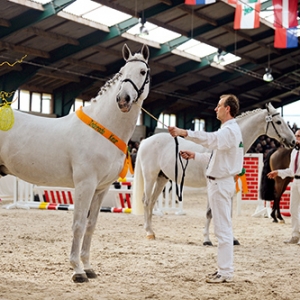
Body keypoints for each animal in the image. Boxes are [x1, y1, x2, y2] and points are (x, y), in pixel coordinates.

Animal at [0, 43, 150, 282]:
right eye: (122, 73)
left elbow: (90, 225)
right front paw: (77, 271)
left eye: (143, 72)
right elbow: (78, 225)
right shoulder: (84, 185)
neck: (102, 128)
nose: (123, 100)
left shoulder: (100, 189)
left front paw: (88, 267)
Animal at [133, 103, 296, 244]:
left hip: (162, 178)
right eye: (279, 122)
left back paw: (152, 231)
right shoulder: (211, 186)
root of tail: (146, 141)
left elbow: (228, 214)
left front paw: (233, 239)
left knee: (152, 201)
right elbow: (209, 213)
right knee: (146, 201)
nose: (293, 141)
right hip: (150, 177)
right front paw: (207, 239)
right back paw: (149, 232)